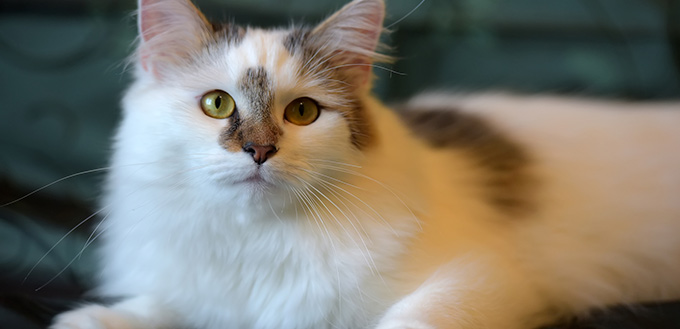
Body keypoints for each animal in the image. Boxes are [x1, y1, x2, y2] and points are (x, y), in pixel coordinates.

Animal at [50, 0, 680, 328]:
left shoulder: (482, 275)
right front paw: (89, 320)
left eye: (303, 112)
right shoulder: (202, 296)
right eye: (217, 105)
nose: (259, 150)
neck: (262, 241)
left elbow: (408, 320)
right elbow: (158, 308)